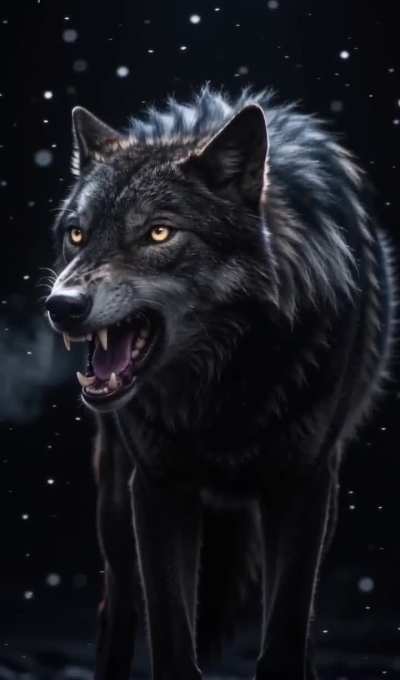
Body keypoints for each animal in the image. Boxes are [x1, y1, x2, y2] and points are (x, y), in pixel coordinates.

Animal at [45, 86, 397, 680]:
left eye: (158, 232)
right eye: (77, 233)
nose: (61, 306)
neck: (224, 389)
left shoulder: (302, 484)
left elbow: (286, 631)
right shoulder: (157, 487)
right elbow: (169, 633)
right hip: (115, 504)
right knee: (116, 605)